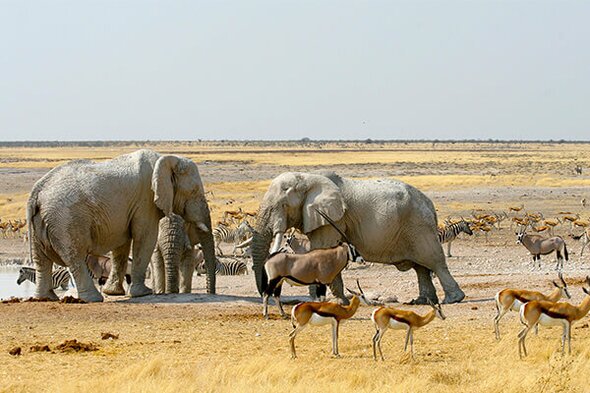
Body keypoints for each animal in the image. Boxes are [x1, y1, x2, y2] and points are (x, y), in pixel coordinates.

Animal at [27, 149, 217, 302]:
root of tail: (36, 192)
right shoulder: (145, 200)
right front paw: (144, 293)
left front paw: (114, 292)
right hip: (65, 221)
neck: (166, 159)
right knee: (75, 256)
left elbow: (122, 244)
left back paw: (45, 298)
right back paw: (92, 299)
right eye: (194, 191)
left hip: (43, 222)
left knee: (41, 259)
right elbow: (145, 237)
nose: (212, 294)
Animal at [251, 171, 468, 304]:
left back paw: (453, 299)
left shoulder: (333, 218)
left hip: (419, 226)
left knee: (434, 261)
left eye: (282, 206)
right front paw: (330, 300)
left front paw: (336, 302)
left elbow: (324, 248)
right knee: (421, 267)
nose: (264, 293)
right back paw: (421, 301)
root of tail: (430, 204)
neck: (306, 177)